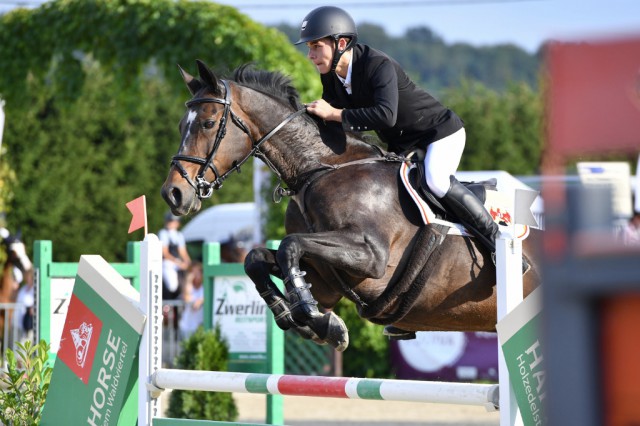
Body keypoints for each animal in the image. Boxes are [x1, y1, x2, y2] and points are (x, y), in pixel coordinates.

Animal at [162, 60, 544, 352]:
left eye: (209, 123)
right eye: (180, 125)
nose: (172, 194)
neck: (320, 170)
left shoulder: (370, 256)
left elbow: (289, 246)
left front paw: (312, 315)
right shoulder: (324, 277)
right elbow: (257, 258)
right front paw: (314, 322)